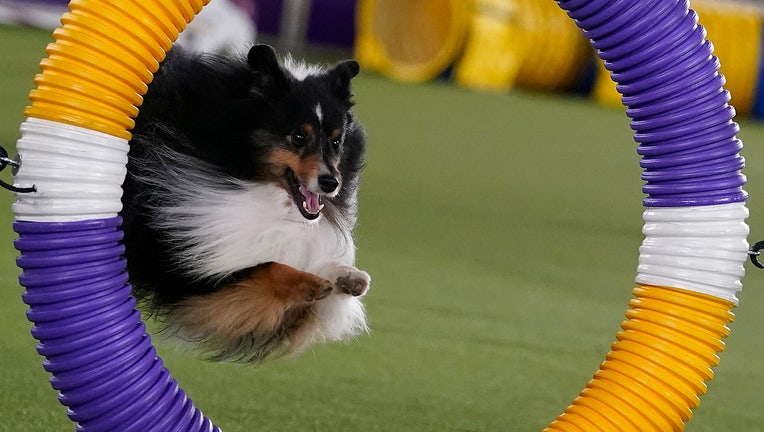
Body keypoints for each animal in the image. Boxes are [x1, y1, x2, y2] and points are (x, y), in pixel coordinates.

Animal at [121, 44, 370, 362]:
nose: (331, 183)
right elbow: (268, 267)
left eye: (337, 141)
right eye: (298, 137)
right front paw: (311, 282)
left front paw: (347, 277)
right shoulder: (184, 273)